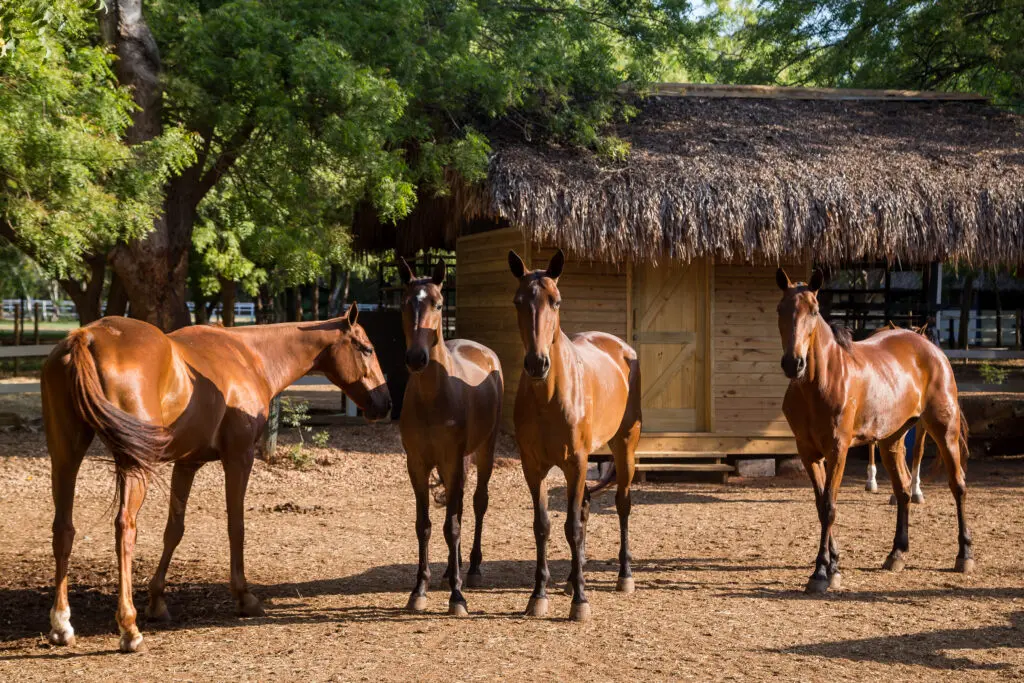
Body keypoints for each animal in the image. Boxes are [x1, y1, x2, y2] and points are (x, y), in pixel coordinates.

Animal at [42, 304, 391, 652]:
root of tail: (87, 336)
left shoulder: (187, 463)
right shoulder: (239, 458)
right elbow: (236, 526)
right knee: (124, 528)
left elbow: (174, 530)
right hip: (132, 465)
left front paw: (157, 601)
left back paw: (61, 624)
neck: (249, 356)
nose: (384, 403)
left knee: (63, 529)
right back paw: (129, 628)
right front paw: (244, 597)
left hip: (66, 456)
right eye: (367, 349)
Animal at [397, 258, 503, 616]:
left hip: (484, 451)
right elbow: (426, 525)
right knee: (456, 507)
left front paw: (457, 597)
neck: (433, 397)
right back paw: (449, 570)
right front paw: (419, 589)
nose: (416, 358)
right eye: (406, 302)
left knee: (477, 503)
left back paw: (471, 569)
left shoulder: (452, 461)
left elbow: (452, 525)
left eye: (438, 304)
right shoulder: (417, 465)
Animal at [508, 248, 642, 621]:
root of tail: (622, 348)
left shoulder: (576, 463)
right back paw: (570, 580)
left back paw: (624, 575)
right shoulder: (533, 467)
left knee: (622, 504)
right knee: (583, 508)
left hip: (624, 445)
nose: (537, 363)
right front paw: (538, 595)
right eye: (519, 301)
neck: (549, 395)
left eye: (556, 301)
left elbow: (572, 527)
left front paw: (581, 601)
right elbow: (543, 526)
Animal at [775, 268, 972, 595]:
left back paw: (965, 554)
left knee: (957, 486)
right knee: (903, 490)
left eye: (814, 311)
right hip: (891, 441)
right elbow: (820, 506)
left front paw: (821, 572)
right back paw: (897, 553)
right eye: (781, 309)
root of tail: (931, 348)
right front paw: (834, 564)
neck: (820, 382)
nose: (794, 363)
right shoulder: (808, 453)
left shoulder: (837, 450)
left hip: (944, 430)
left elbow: (829, 506)